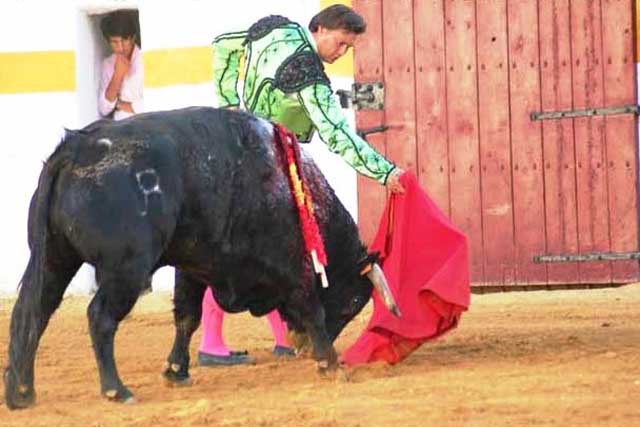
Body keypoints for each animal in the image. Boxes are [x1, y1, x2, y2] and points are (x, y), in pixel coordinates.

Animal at [2, 106, 398, 408]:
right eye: (354, 303)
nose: (301, 347)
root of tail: (76, 148)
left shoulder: (193, 266)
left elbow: (187, 317)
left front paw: (176, 372)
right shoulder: (291, 264)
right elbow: (312, 308)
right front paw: (332, 365)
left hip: (53, 258)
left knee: (32, 313)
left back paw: (21, 393)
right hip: (127, 269)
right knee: (99, 317)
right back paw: (117, 390)